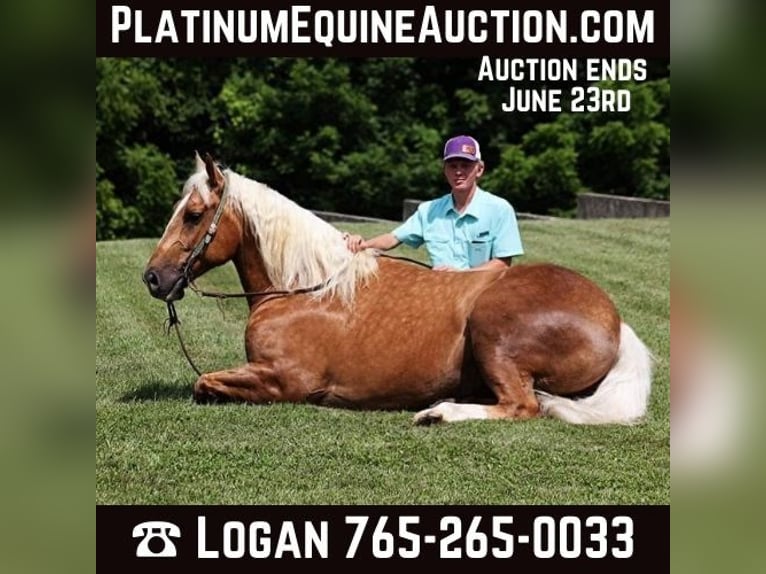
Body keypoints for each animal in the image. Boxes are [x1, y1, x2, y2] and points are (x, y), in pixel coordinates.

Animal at [143, 153, 653, 425]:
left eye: (193, 215)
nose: (153, 277)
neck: (306, 289)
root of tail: (614, 320)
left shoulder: (286, 380)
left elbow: (204, 382)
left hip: (492, 335)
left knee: (521, 405)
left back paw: (439, 413)